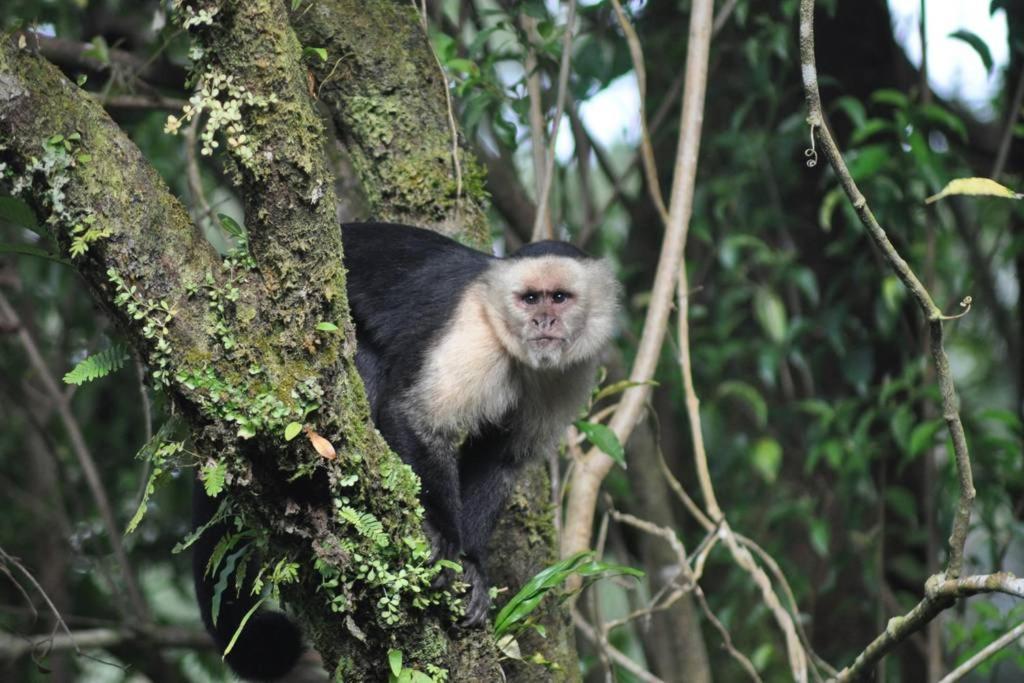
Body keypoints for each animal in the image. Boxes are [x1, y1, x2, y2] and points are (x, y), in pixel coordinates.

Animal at [195, 223, 618, 679]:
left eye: (559, 297)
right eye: (529, 298)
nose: (543, 320)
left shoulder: (568, 372)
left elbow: (503, 459)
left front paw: (473, 566)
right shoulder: (473, 333)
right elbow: (416, 417)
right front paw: (443, 535)